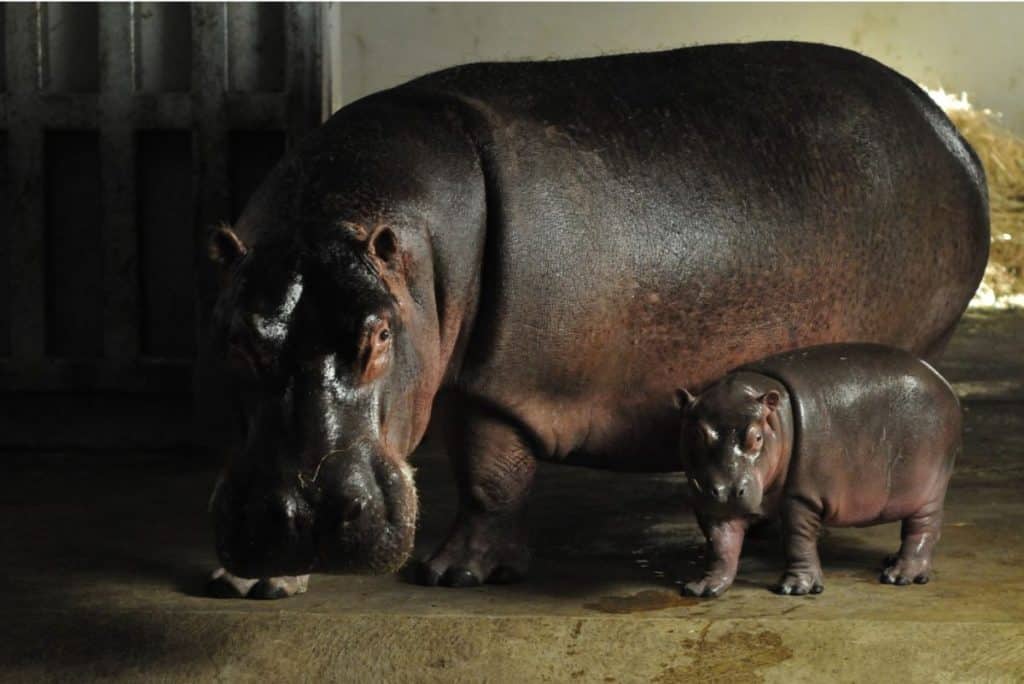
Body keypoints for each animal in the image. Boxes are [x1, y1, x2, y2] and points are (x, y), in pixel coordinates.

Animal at [679, 344, 958, 593]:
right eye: (695, 434)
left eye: (756, 437)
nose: (725, 492)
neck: (777, 420)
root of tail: (944, 383)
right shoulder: (712, 504)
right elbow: (720, 545)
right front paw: (703, 587)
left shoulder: (801, 496)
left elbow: (798, 539)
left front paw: (795, 588)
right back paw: (891, 560)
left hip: (928, 490)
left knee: (923, 528)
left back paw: (900, 576)